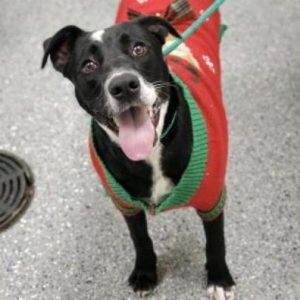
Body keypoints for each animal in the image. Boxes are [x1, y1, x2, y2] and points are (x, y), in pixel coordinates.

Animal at [41, 0, 236, 298]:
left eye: (139, 48)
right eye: (88, 65)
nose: (123, 85)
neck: (151, 154)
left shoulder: (211, 197)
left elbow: (216, 241)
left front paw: (219, 278)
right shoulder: (126, 204)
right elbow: (140, 239)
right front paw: (145, 273)